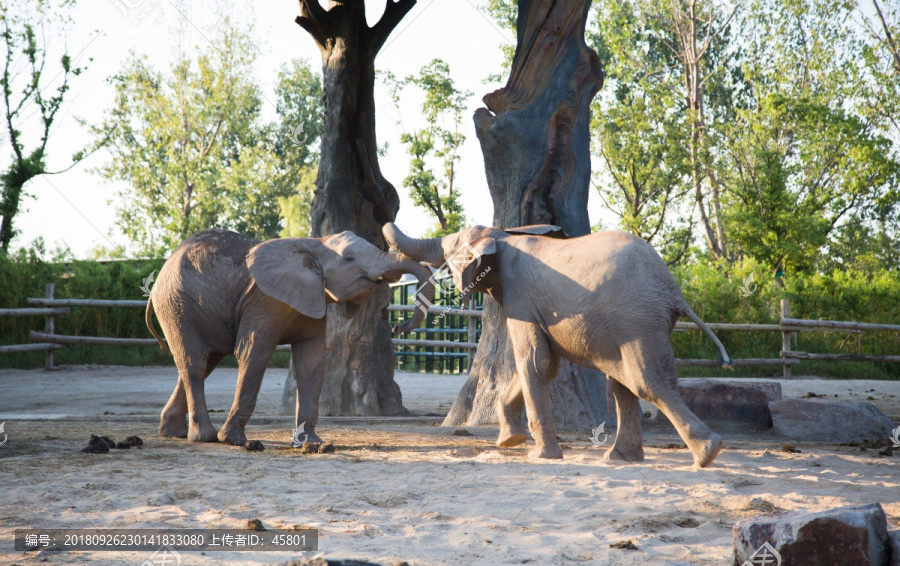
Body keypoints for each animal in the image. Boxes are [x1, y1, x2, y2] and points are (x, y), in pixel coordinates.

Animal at [148, 229, 436, 450]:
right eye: (349, 258)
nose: (398, 326)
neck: (315, 244)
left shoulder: (313, 297)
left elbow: (312, 362)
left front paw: (312, 443)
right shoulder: (263, 300)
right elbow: (254, 352)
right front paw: (235, 440)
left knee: (203, 362)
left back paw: (172, 432)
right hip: (178, 305)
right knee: (195, 363)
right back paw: (205, 437)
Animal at [384, 224, 732, 468]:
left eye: (450, 247)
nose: (395, 327)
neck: (501, 235)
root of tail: (673, 291)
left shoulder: (520, 298)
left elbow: (533, 361)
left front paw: (538, 456)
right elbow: (545, 365)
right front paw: (509, 441)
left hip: (636, 320)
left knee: (648, 381)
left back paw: (708, 453)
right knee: (624, 383)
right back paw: (620, 458)